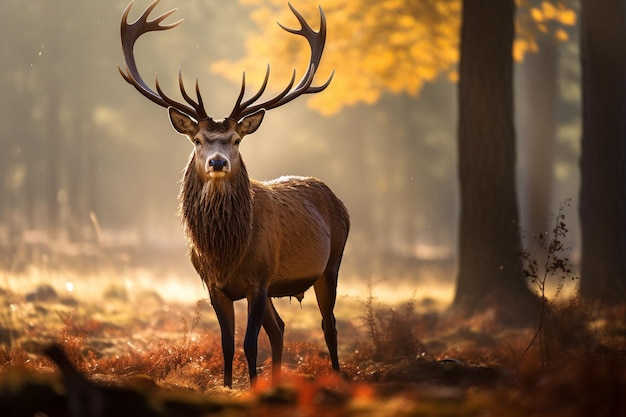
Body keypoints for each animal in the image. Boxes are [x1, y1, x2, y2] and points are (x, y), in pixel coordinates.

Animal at [117, 0, 348, 386]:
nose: (218, 161)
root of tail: (338, 199)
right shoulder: (214, 287)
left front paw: (251, 387)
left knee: (328, 324)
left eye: (236, 140)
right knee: (280, 328)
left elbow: (249, 344)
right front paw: (228, 386)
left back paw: (336, 375)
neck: (225, 251)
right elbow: (227, 344)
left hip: (331, 264)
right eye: (197, 140)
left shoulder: (259, 279)